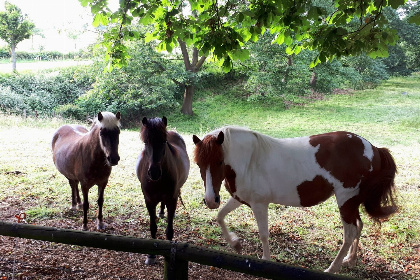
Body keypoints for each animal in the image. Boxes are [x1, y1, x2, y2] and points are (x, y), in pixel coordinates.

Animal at [135, 116, 189, 264]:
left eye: (164, 142)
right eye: (146, 142)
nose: (154, 172)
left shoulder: (172, 199)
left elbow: (169, 231)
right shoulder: (149, 200)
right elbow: (153, 227)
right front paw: (151, 256)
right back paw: (161, 212)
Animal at [194, 127, 398, 274]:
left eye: (220, 161)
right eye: (199, 164)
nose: (211, 200)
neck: (250, 161)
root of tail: (373, 149)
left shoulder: (260, 204)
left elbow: (264, 234)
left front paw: (265, 260)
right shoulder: (239, 199)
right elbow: (220, 216)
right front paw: (235, 243)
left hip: (345, 200)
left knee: (350, 233)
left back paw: (332, 268)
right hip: (352, 203)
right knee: (359, 226)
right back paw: (350, 259)